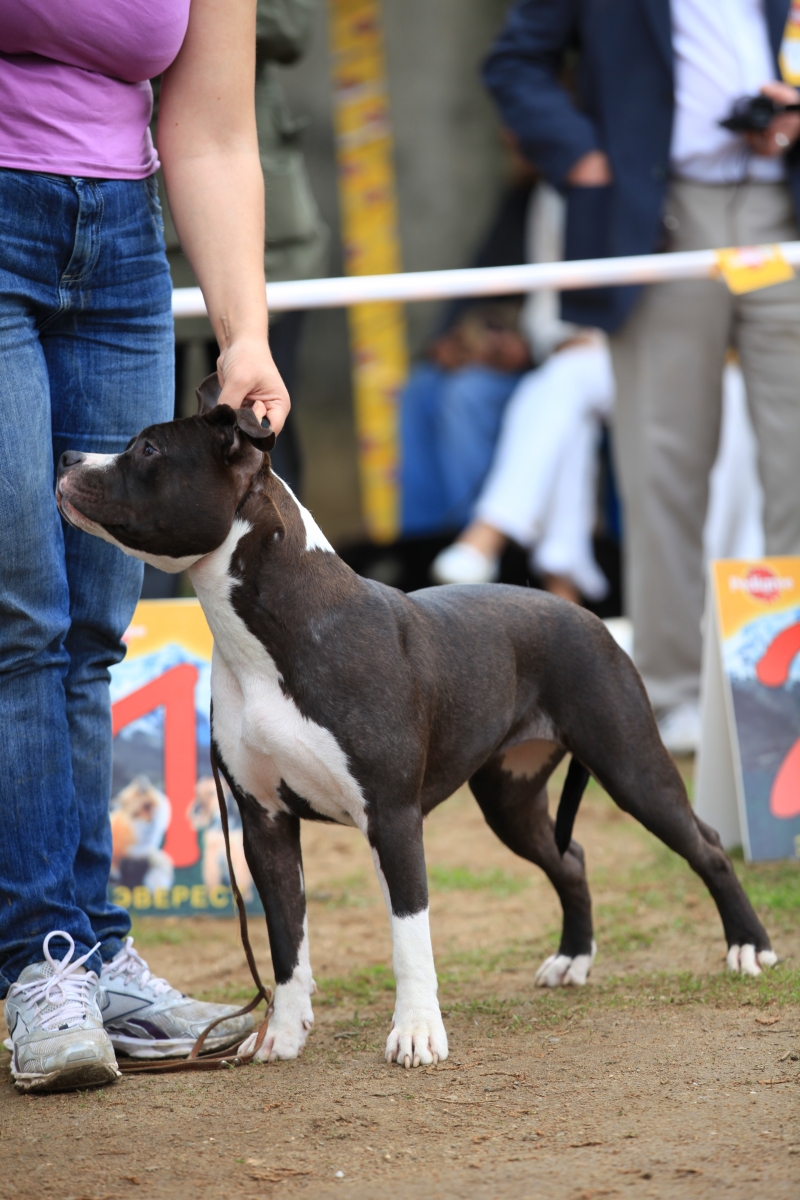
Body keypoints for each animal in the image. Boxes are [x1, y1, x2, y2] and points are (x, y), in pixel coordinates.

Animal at [56, 391, 777, 1070]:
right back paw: (573, 958)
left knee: (707, 845)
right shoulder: (264, 822)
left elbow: (409, 937)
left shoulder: (394, 816)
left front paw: (416, 1035)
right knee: (568, 858)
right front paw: (282, 1036)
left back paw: (749, 947)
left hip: (630, 764)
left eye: (148, 449)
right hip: (511, 801)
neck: (272, 629)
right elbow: (286, 941)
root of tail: (589, 615)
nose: (64, 456)